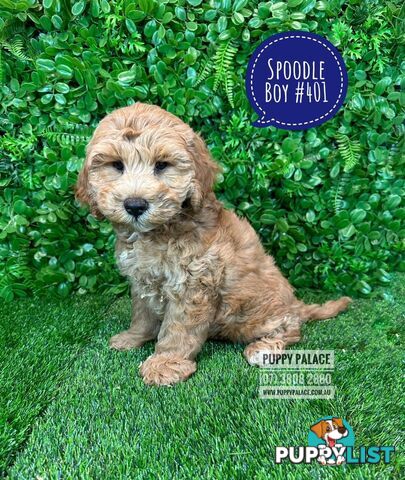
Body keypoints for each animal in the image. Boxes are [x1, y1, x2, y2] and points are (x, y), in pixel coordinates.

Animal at [76, 102, 350, 386]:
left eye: (162, 165)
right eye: (116, 165)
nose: (135, 205)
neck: (158, 232)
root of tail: (298, 306)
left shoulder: (193, 286)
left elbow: (178, 330)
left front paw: (165, 364)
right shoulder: (142, 281)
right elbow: (142, 314)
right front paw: (133, 337)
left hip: (262, 317)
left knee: (291, 329)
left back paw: (263, 348)